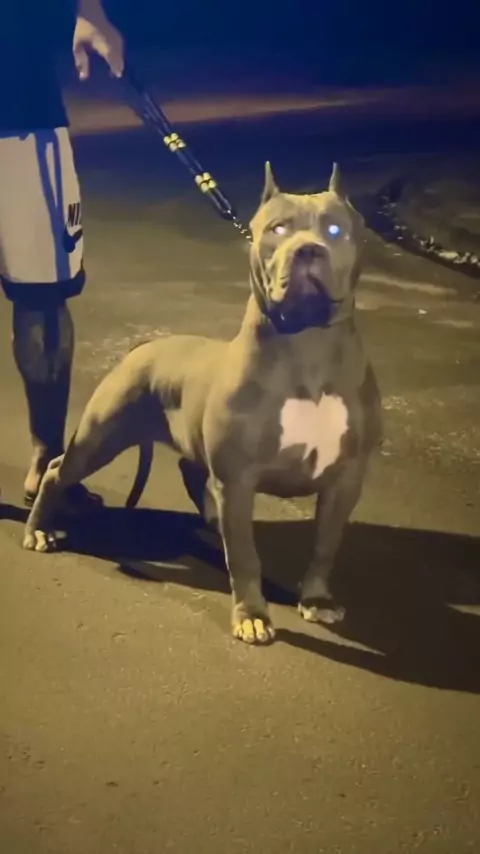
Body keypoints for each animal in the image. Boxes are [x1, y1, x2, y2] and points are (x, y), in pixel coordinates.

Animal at [23, 163, 382, 645]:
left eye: (335, 228)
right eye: (278, 229)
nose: (308, 250)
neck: (307, 349)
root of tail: (145, 345)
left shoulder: (346, 478)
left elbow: (326, 545)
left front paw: (317, 600)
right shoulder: (239, 477)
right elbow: (245, 557)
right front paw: (252, 615)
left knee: (190, 469)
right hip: (101, 436)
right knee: (58, 469)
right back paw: (40, 529)